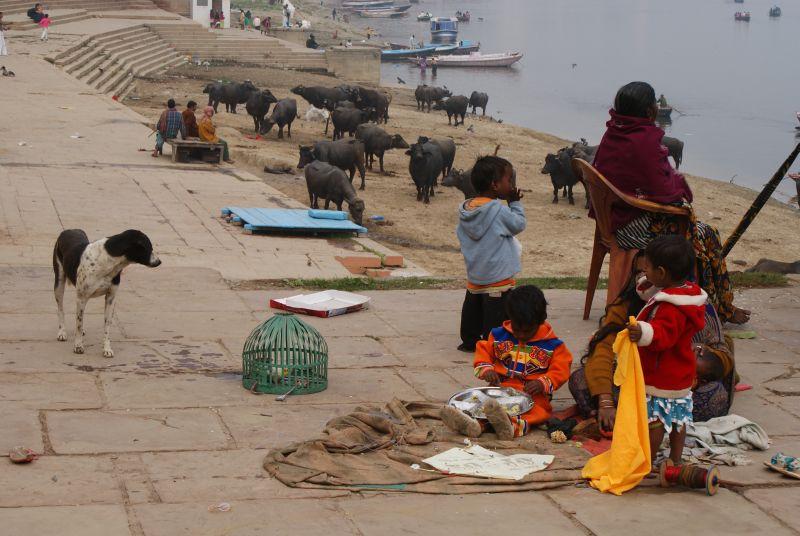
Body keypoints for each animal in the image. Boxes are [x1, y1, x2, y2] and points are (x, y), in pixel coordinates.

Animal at [53, 229, 161, 358]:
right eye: (148, 247)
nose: (159, 262)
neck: (108, 261)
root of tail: (69, 230)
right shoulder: (81, 298)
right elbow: (78, 324)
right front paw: (78, 346)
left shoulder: (110, 298)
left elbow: (106, 326)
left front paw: (107, 349)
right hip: (59, 284)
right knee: (61, 309)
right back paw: (62, 332)